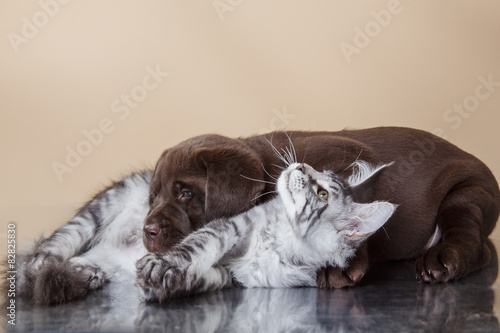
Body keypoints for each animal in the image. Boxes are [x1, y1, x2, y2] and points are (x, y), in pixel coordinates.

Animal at [143, 126, 498, 286]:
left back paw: (441, 259)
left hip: (469, 193)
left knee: (472, 239)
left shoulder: (350, 153)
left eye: (186, 193)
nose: (148, 231)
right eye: (153, 196)